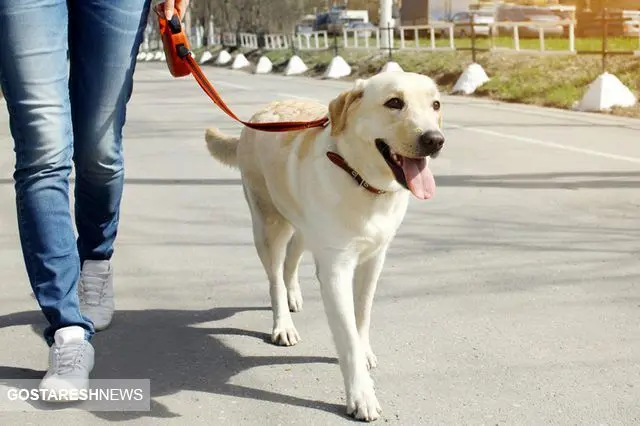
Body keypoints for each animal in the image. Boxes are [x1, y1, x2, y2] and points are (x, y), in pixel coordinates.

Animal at [205, 71, 444, 422]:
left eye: (436, 104)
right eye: (394, 102)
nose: (434, 140)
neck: (361, 180)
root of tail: (257, 117)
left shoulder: (374, 259)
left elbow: (362, 315)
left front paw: (364, 350)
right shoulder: (336, 269)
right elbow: (346, 335)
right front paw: (361, 395)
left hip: (303, 227)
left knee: (291, 261)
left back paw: (293, 296)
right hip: (268, 225)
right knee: (275, 276)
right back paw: (283, 323)